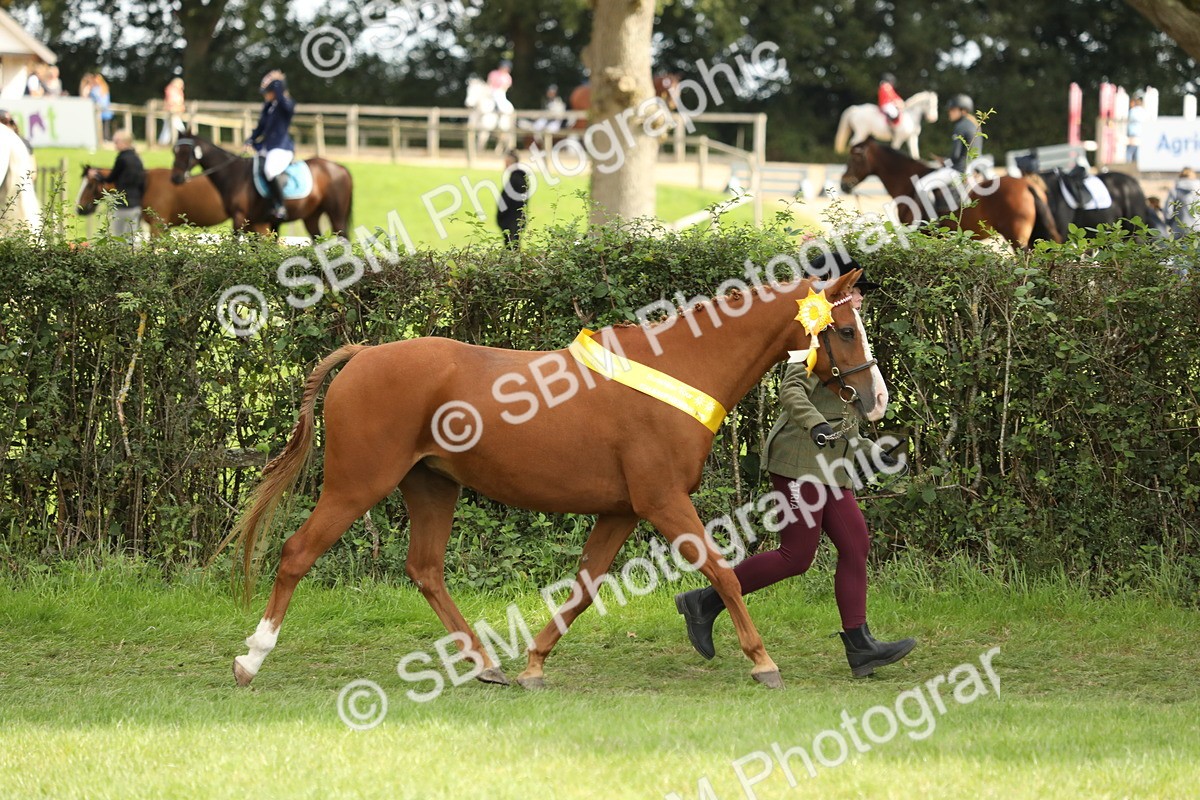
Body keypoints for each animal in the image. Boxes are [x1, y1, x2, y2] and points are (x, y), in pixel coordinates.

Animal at [169, 133, 353, 237]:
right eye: (174, 151)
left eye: (185, 151)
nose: (175, 178)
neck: (234, 174)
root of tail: (341, 167)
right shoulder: (254, 223)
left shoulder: (239, 218)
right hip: (311, 217)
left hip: (336, 215)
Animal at [226, 268, 887, 692]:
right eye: (844, 330)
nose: (876, 400)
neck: (679, 368)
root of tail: (362, 355)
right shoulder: (663, 500)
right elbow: (721, 570)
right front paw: (762, 662)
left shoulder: (623, 510)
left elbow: (585, 586)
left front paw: (534, 665)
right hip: (356, 484)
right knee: (297, 552)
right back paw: (250, 661)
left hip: (432, 485)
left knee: (425, 570)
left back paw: (486, 664)